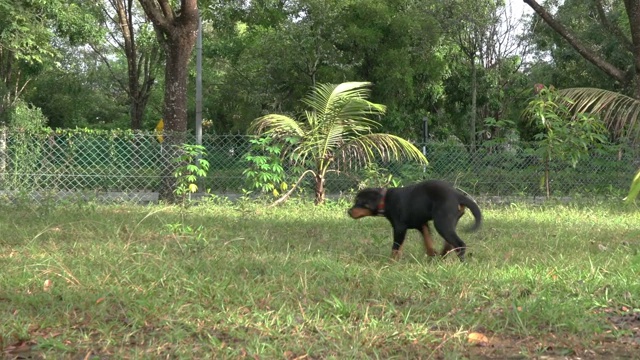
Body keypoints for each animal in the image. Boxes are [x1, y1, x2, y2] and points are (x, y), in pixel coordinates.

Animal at [350, 180, 480, 262]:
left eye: (359, 202)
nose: (349, 211)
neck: (385, 200)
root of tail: (458, 195)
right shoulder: (422, 225)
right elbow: (428, 242)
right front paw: (432, 254)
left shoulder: (399, 228)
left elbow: (396, 247)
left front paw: (390, 263)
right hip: (448, 224)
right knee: (449, 244)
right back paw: (441, 257)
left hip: (442, 223)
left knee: (459, 244)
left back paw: (461, 262)